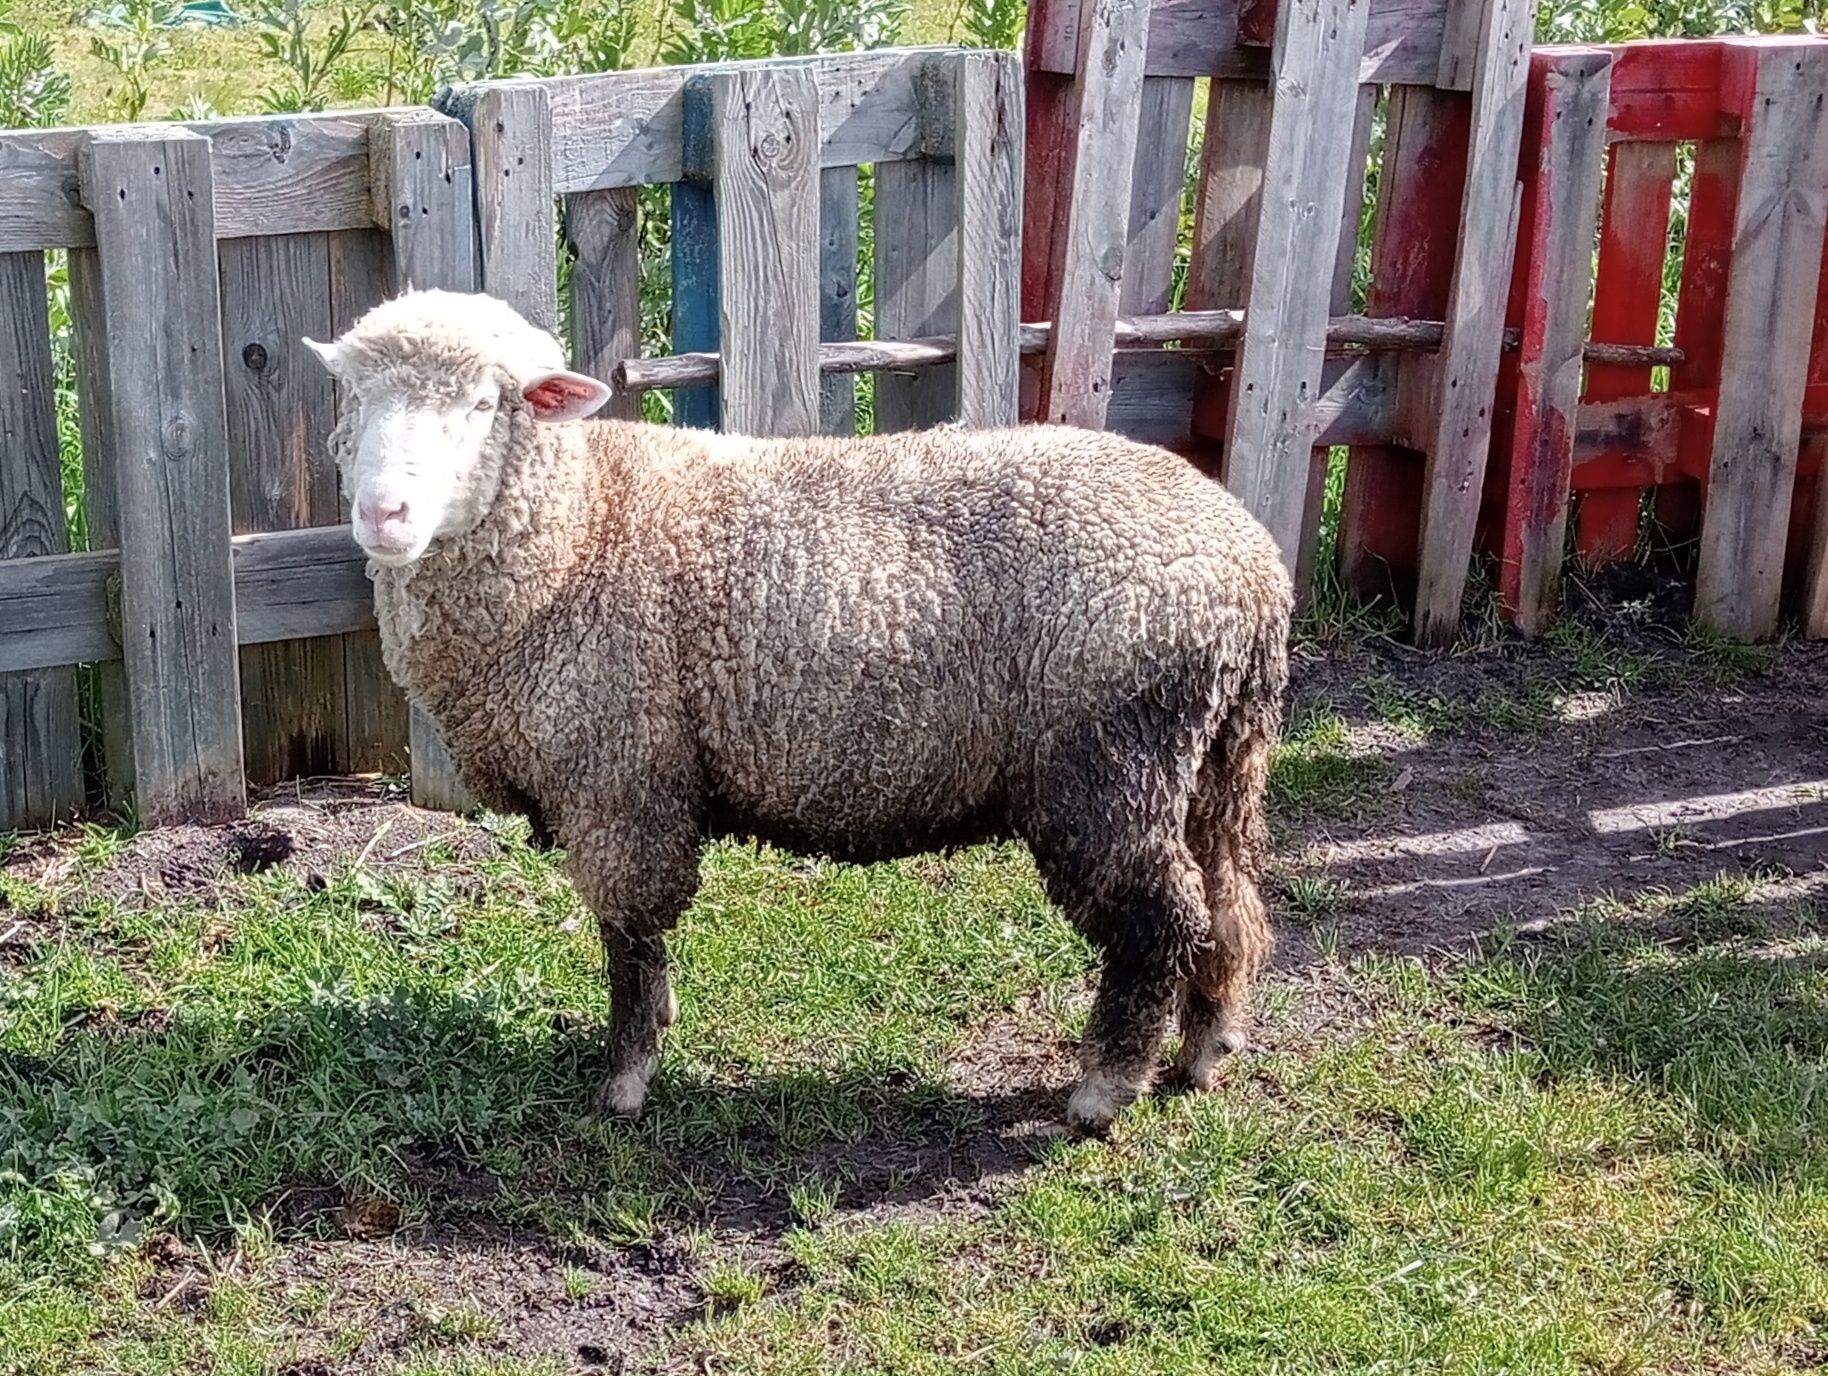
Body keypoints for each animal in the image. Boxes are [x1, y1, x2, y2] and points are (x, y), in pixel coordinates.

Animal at [299, 285, 1294, 1132]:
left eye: (482, 404)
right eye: (355, 397)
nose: (384, 514)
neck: (579, 530)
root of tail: (1252, 572)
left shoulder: (619, 779)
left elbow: (630, 937)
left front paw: (626, 1076)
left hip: (1106, 763)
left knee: (1159, 918)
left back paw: (1105, 1088)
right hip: (1215, 757)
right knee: (1229, 898)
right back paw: (1207, 1047)